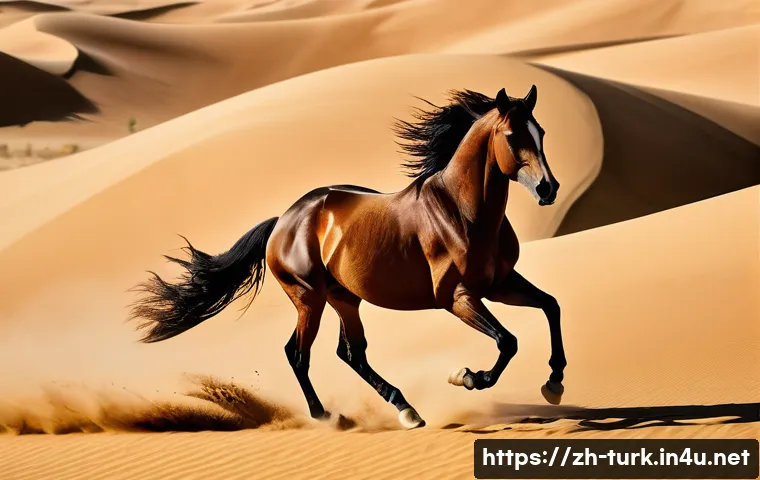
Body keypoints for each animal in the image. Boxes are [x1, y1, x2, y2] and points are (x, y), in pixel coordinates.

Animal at [129, 86, 566, 429]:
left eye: (542, 132)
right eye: (511, 136)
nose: (549, 189)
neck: (463, 211)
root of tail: (283, 220)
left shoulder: (499, 284)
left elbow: (550, 306)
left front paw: (554, 382)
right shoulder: (458, 298)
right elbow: (508, 341)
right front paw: (468, 377)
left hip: (344, 298)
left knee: (351, 353)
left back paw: (406, 409)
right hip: (310, 298)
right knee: (298, 353)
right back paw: (328, 416)